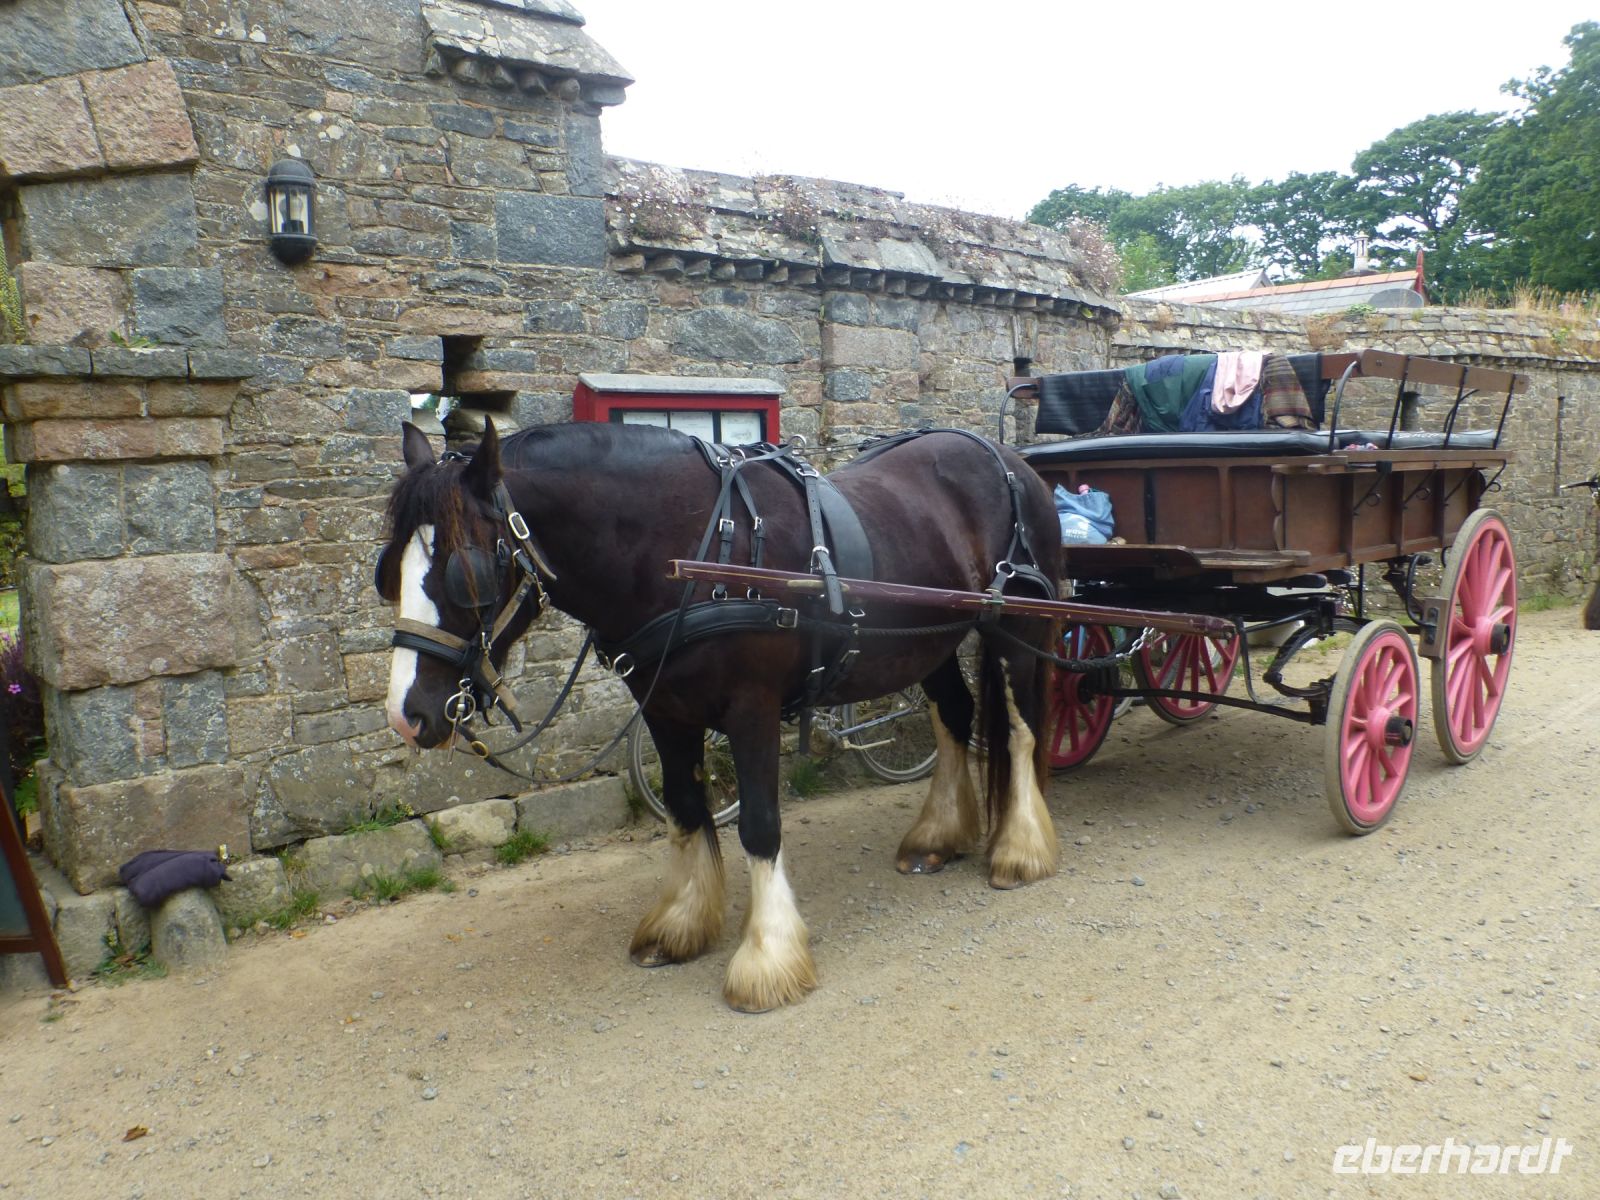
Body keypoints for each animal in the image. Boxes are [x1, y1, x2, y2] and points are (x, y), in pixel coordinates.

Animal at [376, 418, 1063, 1011]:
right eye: (388, 571)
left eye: (466, 572)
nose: (408, 715)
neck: (691, 550)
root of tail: (1007, 457)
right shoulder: (664, 710)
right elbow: (685, 810)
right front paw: (679, 923)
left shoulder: (752, 707)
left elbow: (759, 825)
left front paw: (767, 958)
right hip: (929, 640)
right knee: (954, 715)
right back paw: (937, 837)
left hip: (1018, 629)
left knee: (1022, 729)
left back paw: (1020, 849)